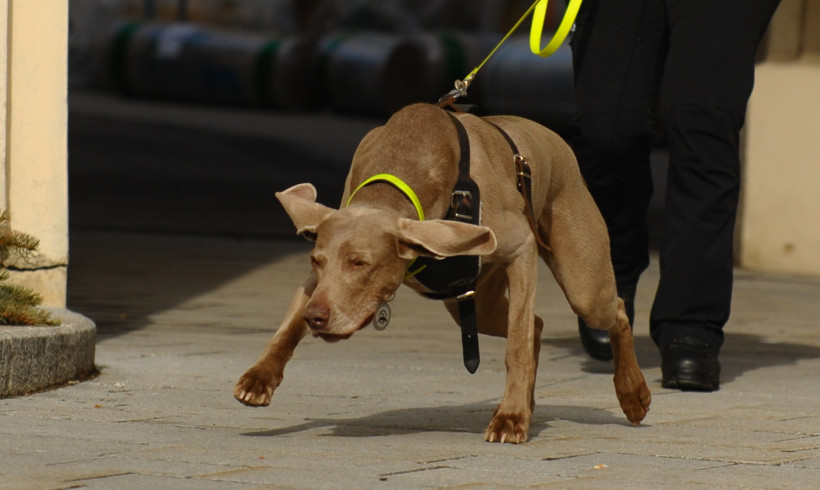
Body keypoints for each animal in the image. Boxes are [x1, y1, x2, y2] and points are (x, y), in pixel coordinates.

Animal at [234, 103, 652, 444]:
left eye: (360, 263)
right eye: (316, 261)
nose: (317, 318)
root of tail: (550, 135)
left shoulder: (520, 248)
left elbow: (516, 346)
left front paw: (511, 419)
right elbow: (288, 325)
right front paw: (260, 378)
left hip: (583, 282)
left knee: (612, 310)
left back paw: (631, 392)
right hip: (472, 302)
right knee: (534, 323)